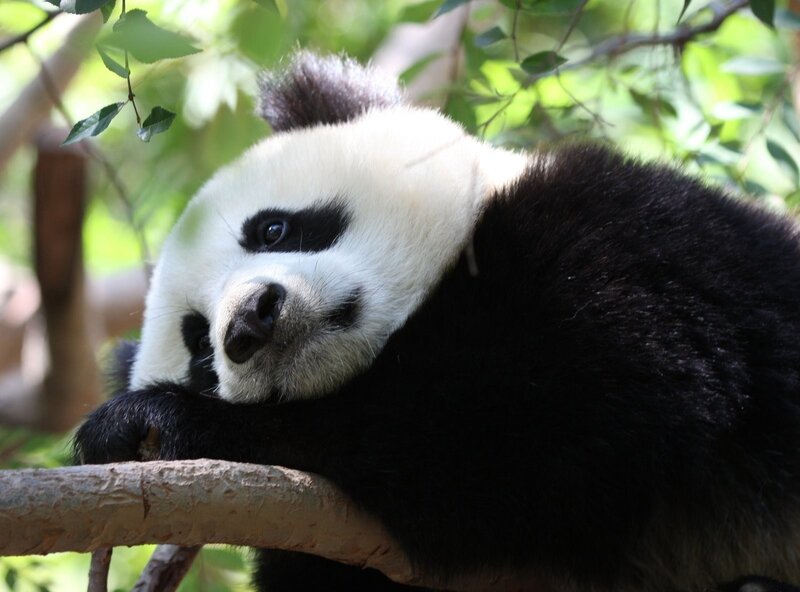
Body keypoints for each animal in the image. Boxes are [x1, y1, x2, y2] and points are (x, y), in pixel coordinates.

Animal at [75, 52, 800, 592]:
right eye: (200, 346)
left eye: (273, 228)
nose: (251, 322)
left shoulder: (631, 241)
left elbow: (547, 416)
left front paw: (157, 422)